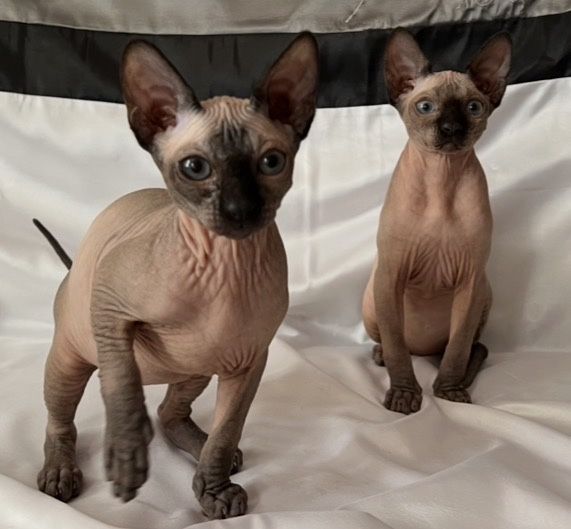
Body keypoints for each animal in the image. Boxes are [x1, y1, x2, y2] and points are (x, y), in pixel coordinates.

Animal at [35, 33, 319, 519]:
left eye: (271, 162)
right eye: (195, 168)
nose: (240, 211)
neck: (225, 266)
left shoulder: (249, 361)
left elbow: (226, 432)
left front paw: (215, 490)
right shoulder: (109, 304)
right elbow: (122, 383)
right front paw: (127, 453)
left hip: (199, 364)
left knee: (171, 413)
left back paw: (202, 454)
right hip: (70, 356)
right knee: (61, 416)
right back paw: (60, 470)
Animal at [363, 29, 512, 414]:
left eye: (473, 108)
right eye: (425, 107)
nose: (451, 128)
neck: (440, 179)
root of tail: (423, 350)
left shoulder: (470, 281)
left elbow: (457, 350)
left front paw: (449, 392)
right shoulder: (391, 274)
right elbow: (398, 351)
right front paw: (404, 396)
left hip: (484, 292)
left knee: (472, 347)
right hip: (372, 299)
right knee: (395, 344)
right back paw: (381, 355)